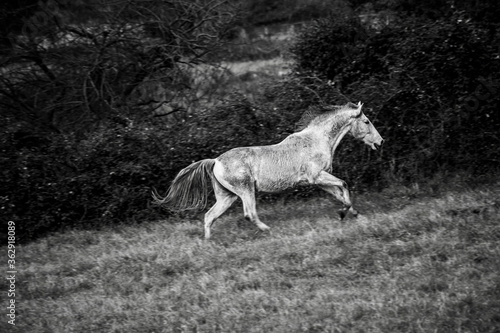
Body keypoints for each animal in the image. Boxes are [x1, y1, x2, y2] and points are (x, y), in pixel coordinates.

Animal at [154, 101, 384, 239]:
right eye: (366, 121)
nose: (380, 142)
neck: (316, 140)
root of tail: (216, 161)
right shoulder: (317, 176)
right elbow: (344, 185)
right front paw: (344, 213)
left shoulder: (319, 181)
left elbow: (340, 193)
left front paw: (351, 213)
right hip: (246, 190)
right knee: (249, 213)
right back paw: (268, 230)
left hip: (227, 196)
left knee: (210, 216)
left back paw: (208, 243)